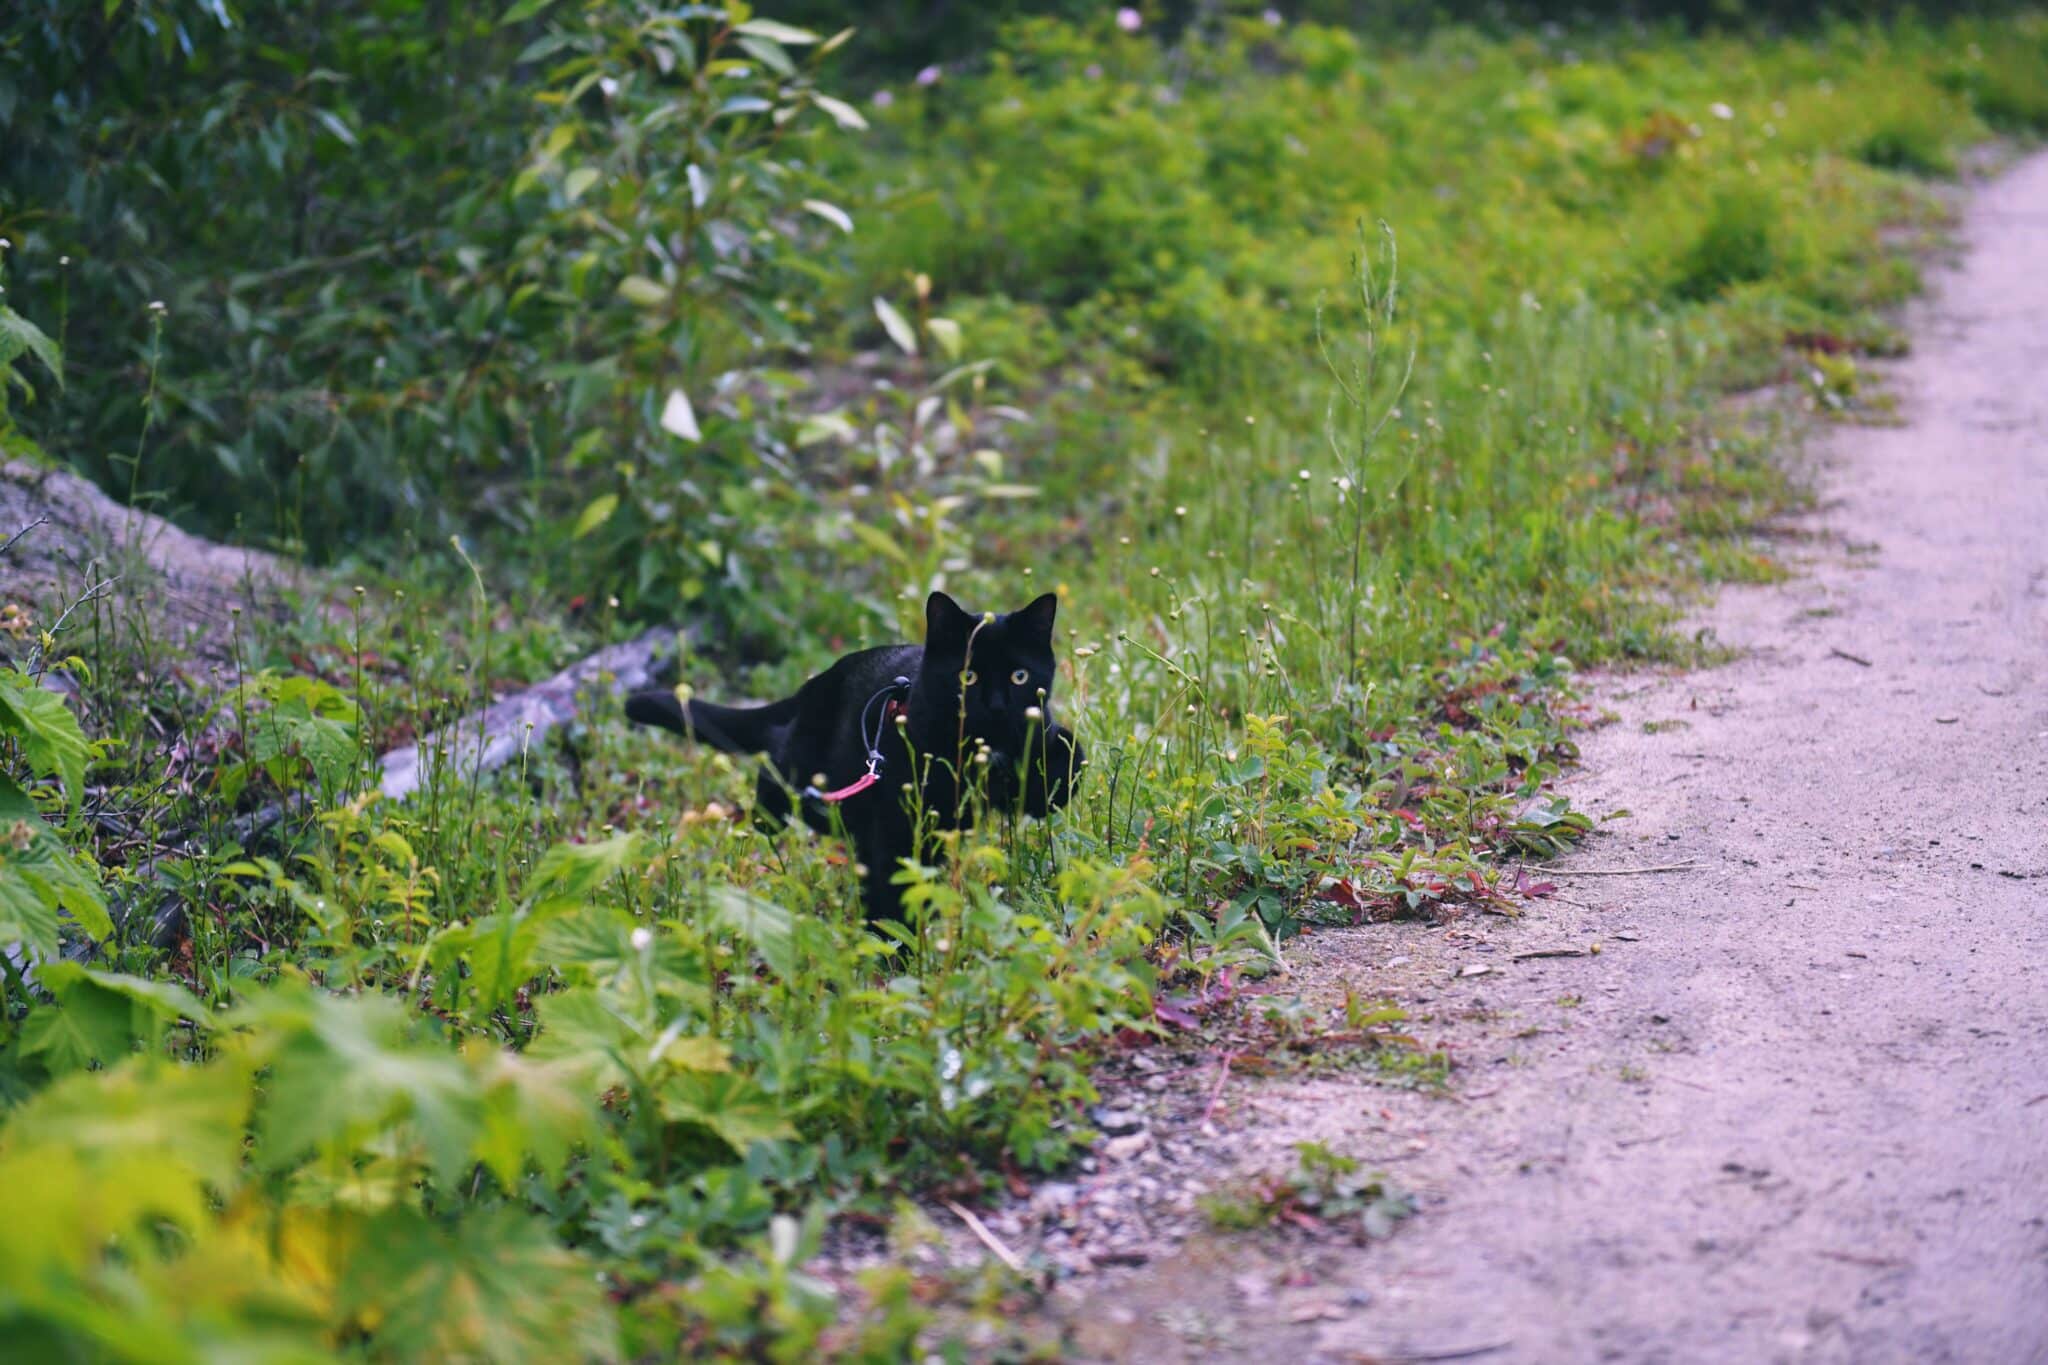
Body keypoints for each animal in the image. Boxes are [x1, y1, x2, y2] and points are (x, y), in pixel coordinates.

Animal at [626, 589, 1089, 916]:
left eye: (1019, 676)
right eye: (967, 676)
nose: (995, 707)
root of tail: (816, 684)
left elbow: (1067, 759)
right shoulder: (900, 825)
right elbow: (894, 887)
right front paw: (897, 958)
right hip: (812, 774)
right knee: (777, 763)